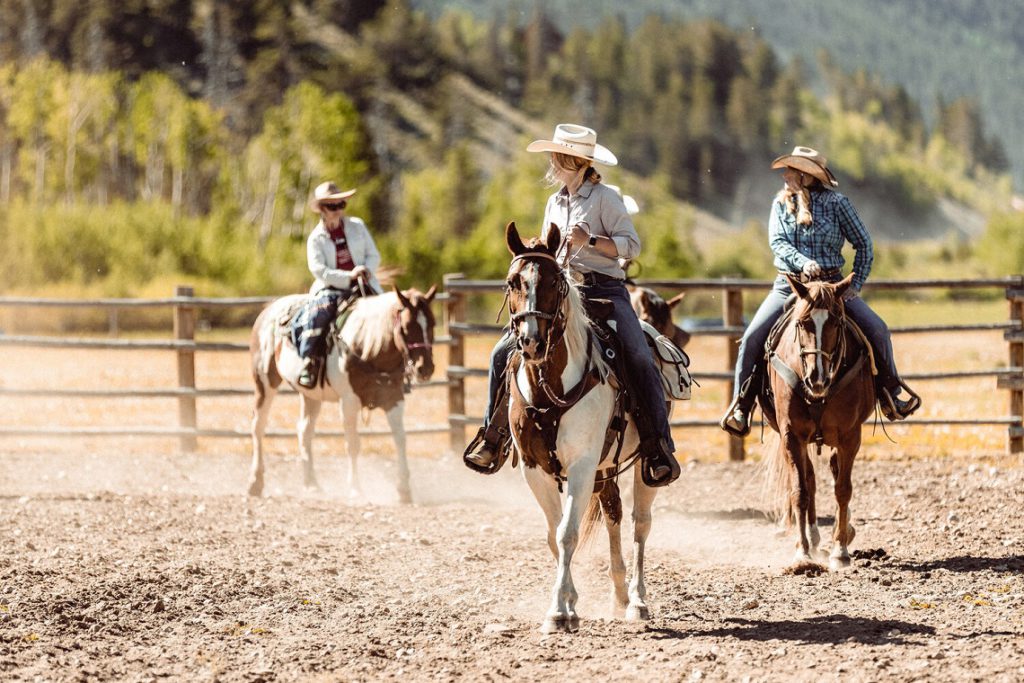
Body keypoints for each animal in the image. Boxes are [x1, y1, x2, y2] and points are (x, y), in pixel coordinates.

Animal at [251, 286, 440, 505]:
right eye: (407, 326)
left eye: (432, 323)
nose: (425, 368)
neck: (366, 346)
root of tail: (269, 309)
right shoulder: (349, 401)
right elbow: (353, 444)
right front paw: (355, 489)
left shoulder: (394, 397)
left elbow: (400, 439)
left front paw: (404, 490)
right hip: (264, 382)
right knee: (258, 426)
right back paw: (255, 482)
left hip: (311, 395)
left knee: (304, 431)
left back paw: (311, 484)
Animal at [761, 274, 872, 573]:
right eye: (802, 322)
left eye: (836, 322)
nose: (816, 378)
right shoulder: (791, 435)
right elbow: (800, 490)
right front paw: (802, 552)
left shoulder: (850, 436)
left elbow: (843, 489)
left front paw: (840, 551)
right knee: (809, 477)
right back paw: (813, 537)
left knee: (833, 471)